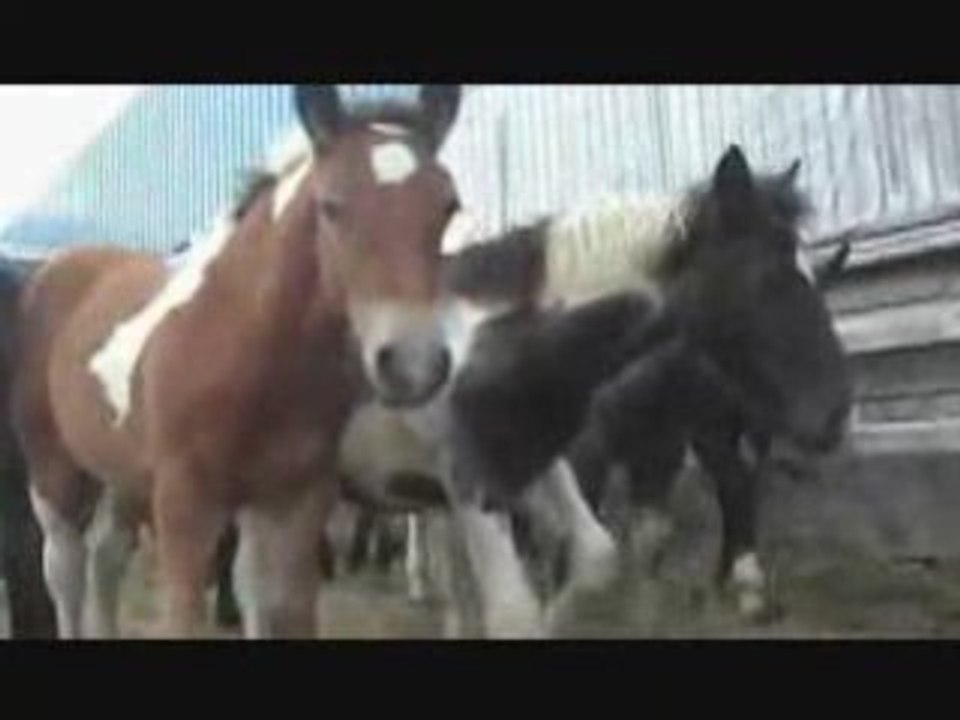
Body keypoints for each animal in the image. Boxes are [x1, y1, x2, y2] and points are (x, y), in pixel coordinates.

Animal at [11, 83, 464, 639]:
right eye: (331, 207)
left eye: (448, 206)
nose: (412, 363)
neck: (247, 346)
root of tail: (54, 268)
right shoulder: (184, 508)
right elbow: (186, 615)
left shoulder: (291, 505)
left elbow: (272, 606)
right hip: (53, 471)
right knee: (65, 571)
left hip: (120, 473)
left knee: (105, 561)